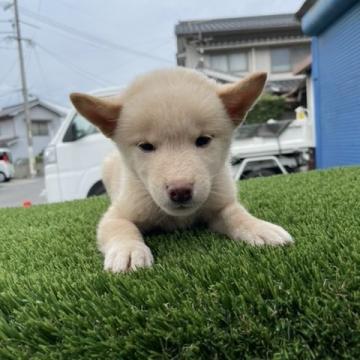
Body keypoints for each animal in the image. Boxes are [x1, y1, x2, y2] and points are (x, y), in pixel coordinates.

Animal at [70, 67, 292, 272]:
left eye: (203, 140)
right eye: (145, 146)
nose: (180, 191)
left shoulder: (220, 202)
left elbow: (235, 213)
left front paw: (259, 227)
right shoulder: (117, 213)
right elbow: (121, 227)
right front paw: (129, 250)